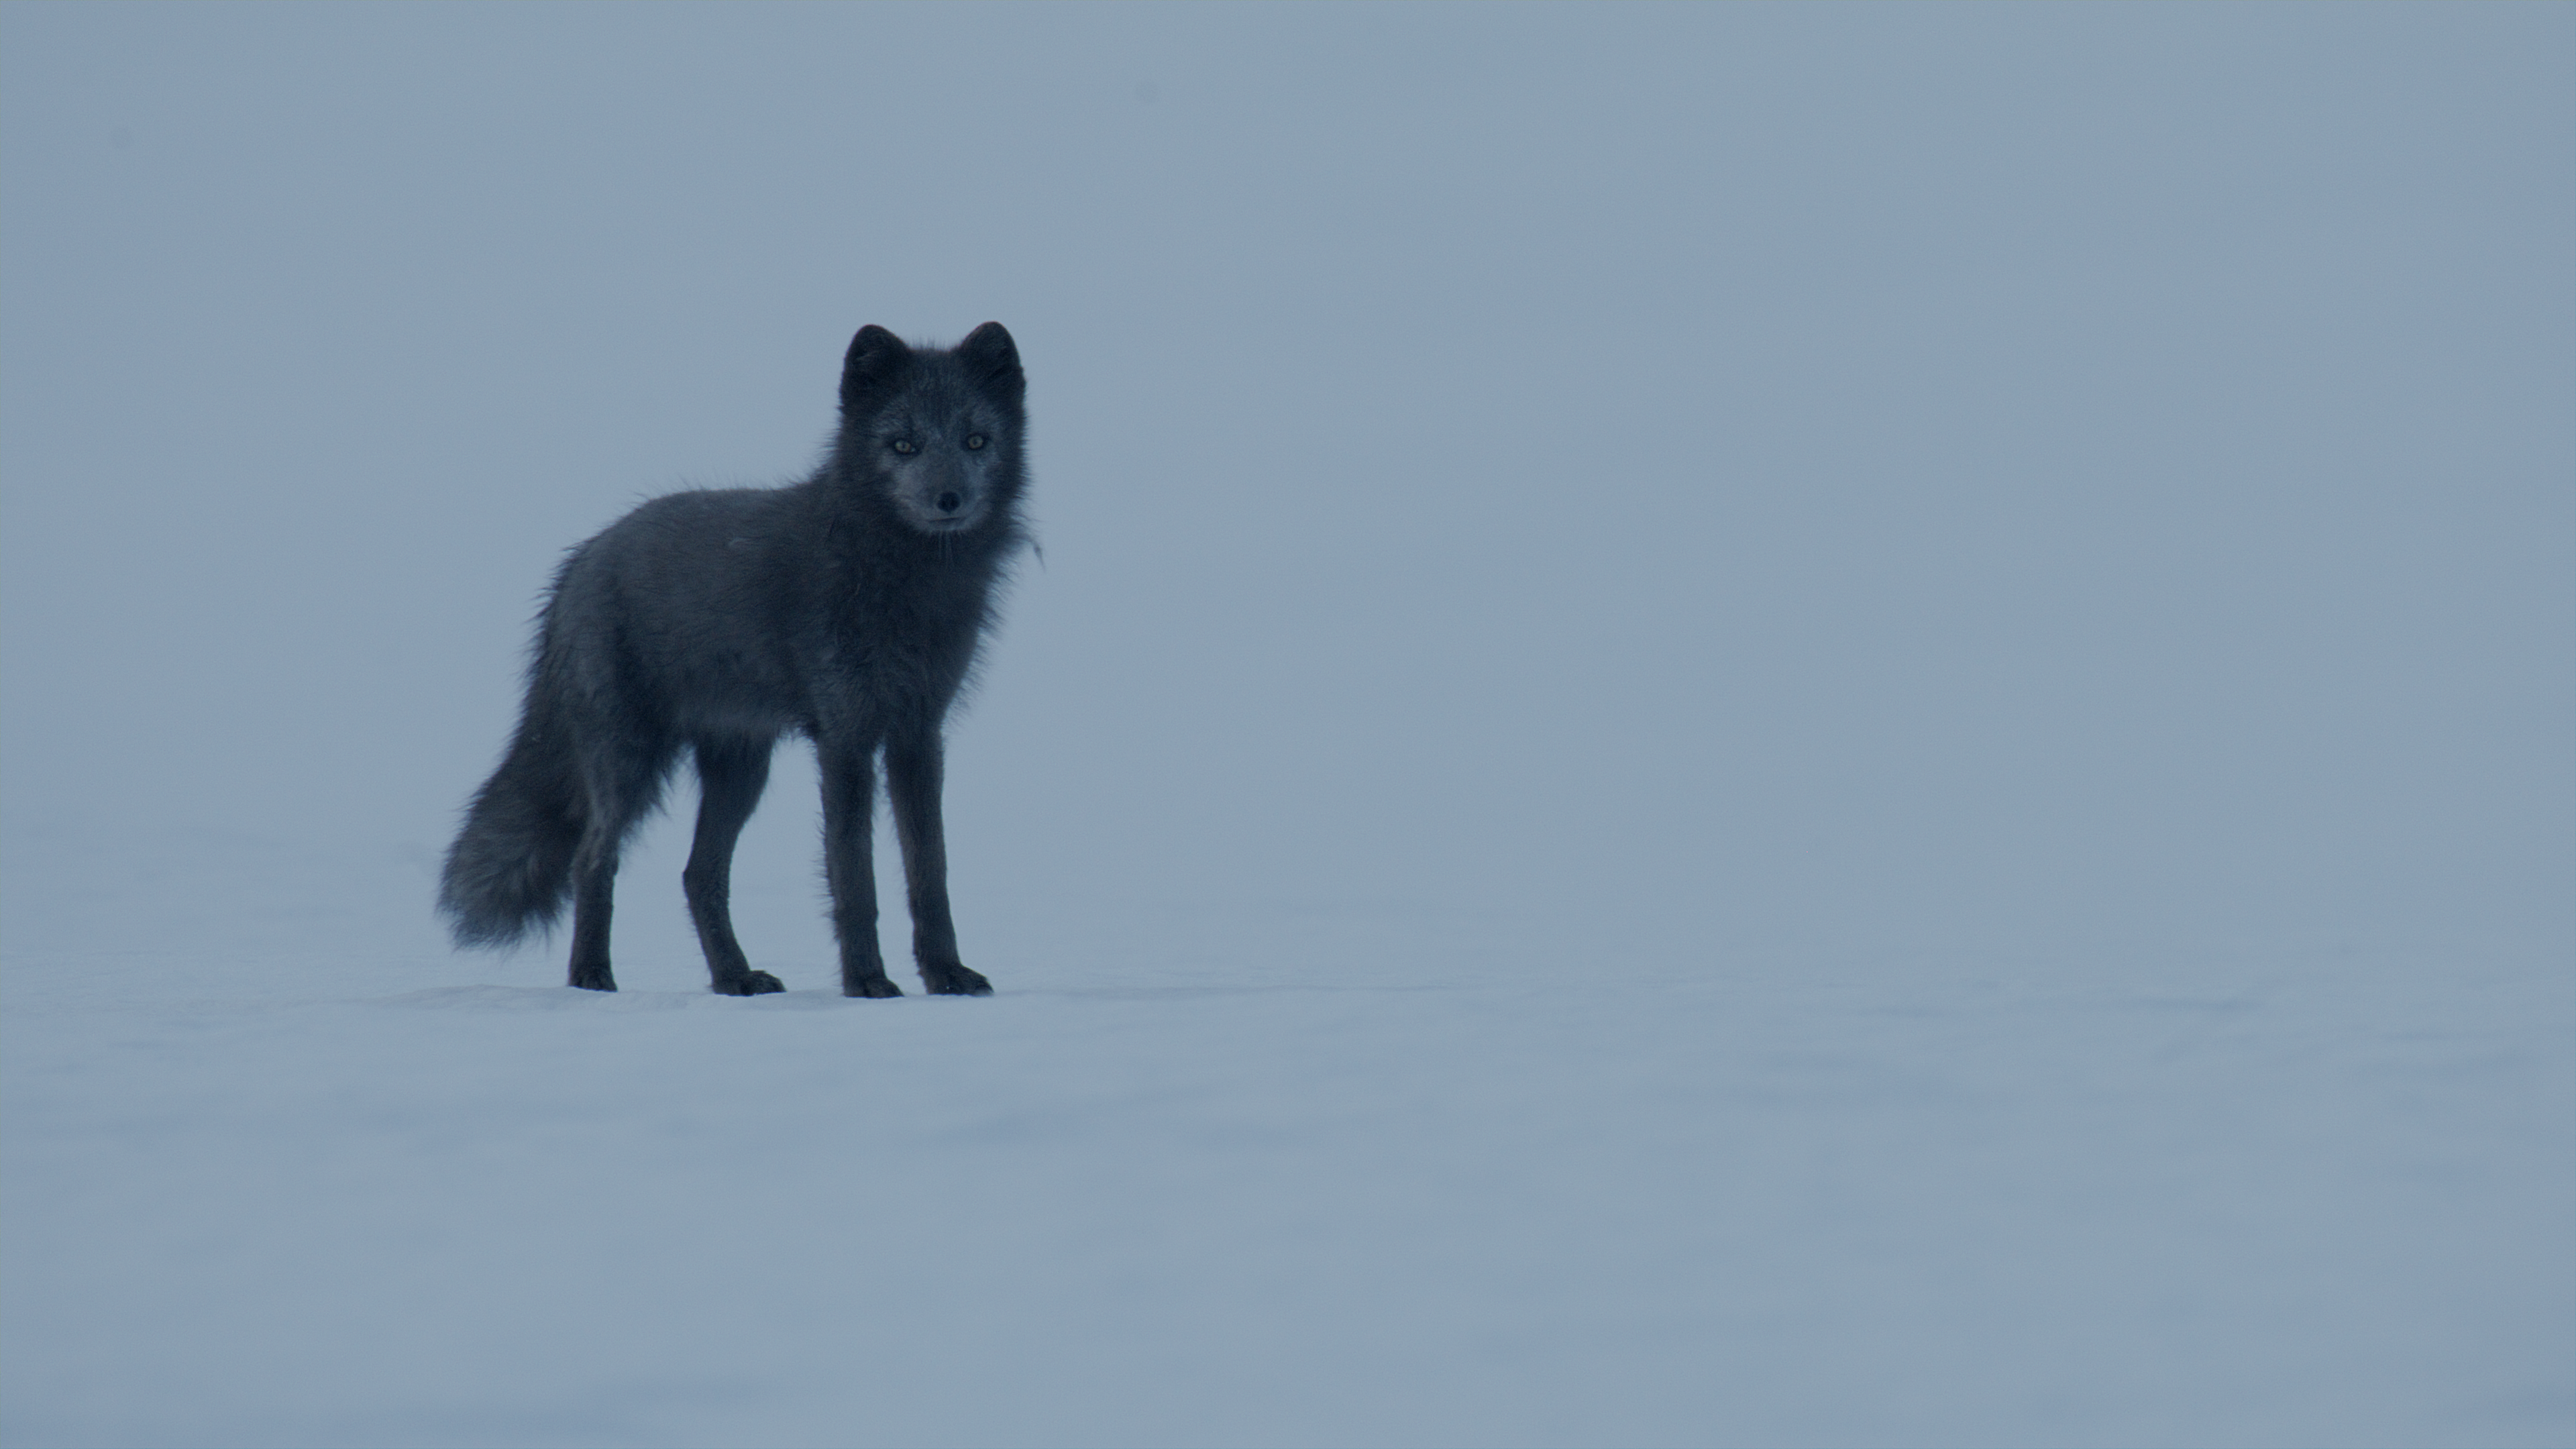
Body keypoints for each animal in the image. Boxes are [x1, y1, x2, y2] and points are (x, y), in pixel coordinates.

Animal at [438, 322, 1028, 997]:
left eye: (975, 439)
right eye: (903, 445)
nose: (948, 498)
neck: (902, 581)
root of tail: (579, 561)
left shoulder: (918, 734)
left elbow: (931, 874)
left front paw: (946, 973)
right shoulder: (846, 737)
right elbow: (855, 878)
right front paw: (867, 982)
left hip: (742, 769)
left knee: (698, 874)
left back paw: (733, 978)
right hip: (630, 760)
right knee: (594, 858)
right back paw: (592, 978)